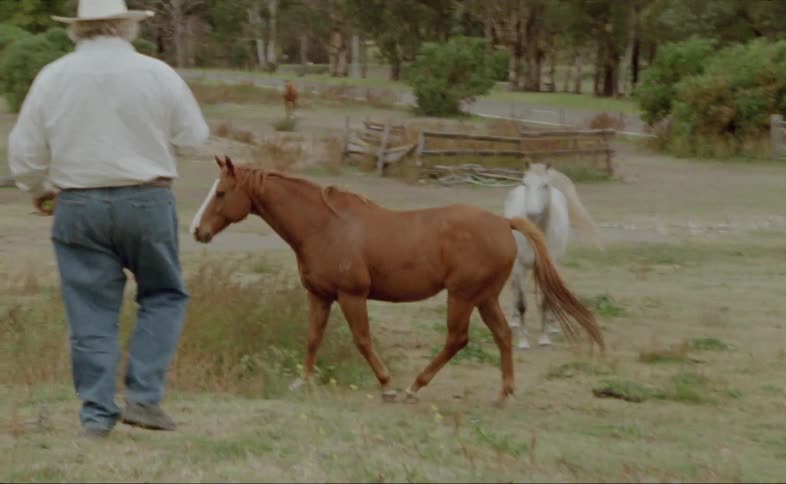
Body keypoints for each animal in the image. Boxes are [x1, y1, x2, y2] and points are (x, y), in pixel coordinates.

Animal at [503, 162, 602, 350]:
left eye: (545, 185)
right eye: (525, 183)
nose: (532, 214)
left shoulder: (550, 266)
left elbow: (546, 300)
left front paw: (544, 338)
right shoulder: (520, 266)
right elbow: (521, 303)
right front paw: (523, 342)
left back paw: (552, 326)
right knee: (514, 290)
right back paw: (514, 322)